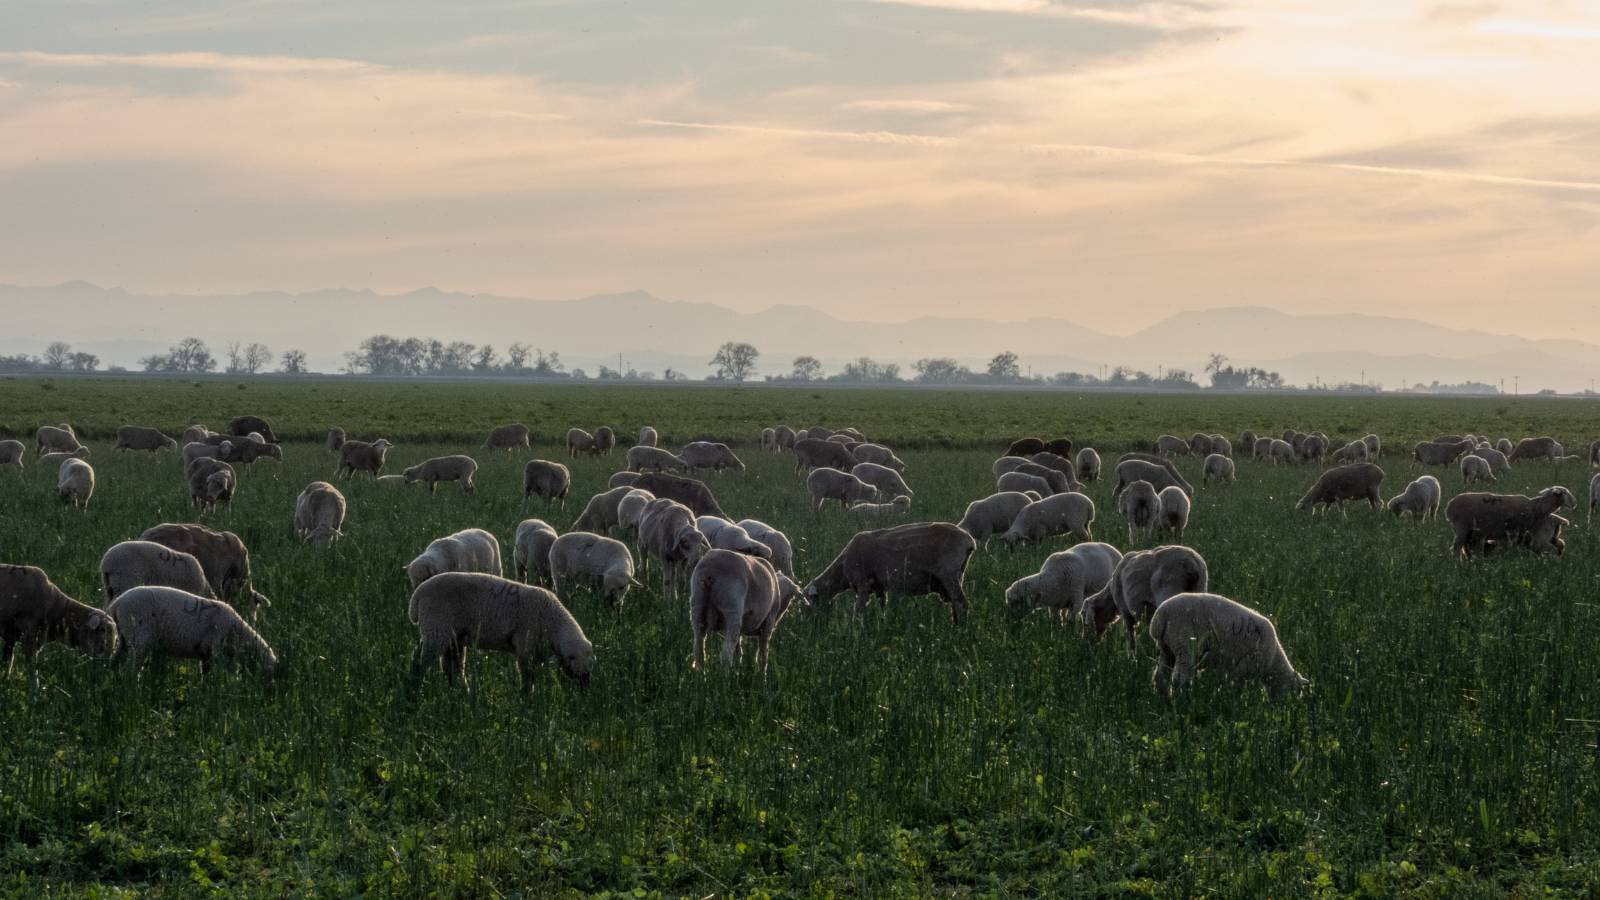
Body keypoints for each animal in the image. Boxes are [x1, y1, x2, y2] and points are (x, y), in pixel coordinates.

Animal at [408, 572, 593, 691]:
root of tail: (416, 597)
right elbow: (528, 678)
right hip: (437, 627)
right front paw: (526, 701)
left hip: (453, 636)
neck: (553, 622)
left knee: (451, 667)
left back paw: (461, 692)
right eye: (573, 658)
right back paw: (415, 689)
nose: (585, 683)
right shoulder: (525, 646)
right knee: (421, 662)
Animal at [803, 522, 976, 623]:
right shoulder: (880, 588)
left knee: (961, 604)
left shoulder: (863, 583)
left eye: (808, 604)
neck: (841, 571)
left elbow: (858, 612)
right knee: (956, 604)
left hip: (948, 573)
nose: (807, 625)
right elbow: (882, 608)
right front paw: (882, 624)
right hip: (958, 574)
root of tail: (969, 541)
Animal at [1150, 592, 1308, 700]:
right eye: (1296, 690)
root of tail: (1160, 616)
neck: (1273, 661)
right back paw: (1181, 697)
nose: (1282, 707)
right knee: (1180, 677)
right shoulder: (1246, 664)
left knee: (1160, 675)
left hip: (1166, 647)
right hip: (1184, 642)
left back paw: (1163, 696)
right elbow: (1237, 685)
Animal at [1445, 487, 1575, 557]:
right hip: (1462, 528)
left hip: (1466, 531)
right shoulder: (1515, 530)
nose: (1574, 504)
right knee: (1455, 549)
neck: (1535, 506)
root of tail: (1449, 506)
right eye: (1565, 493)